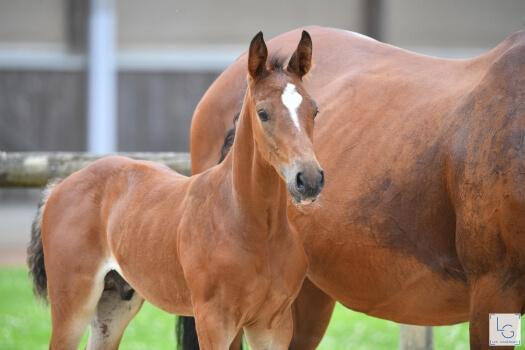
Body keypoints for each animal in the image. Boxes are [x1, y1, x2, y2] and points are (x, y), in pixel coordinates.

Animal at [27, 30, 324, 350]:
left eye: (314, 110)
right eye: (263, 113)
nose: (309, 179)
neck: (251, 227)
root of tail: (62, 184)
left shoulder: (273, 325)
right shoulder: (213, 321)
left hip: (115, 305)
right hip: (73, 305)